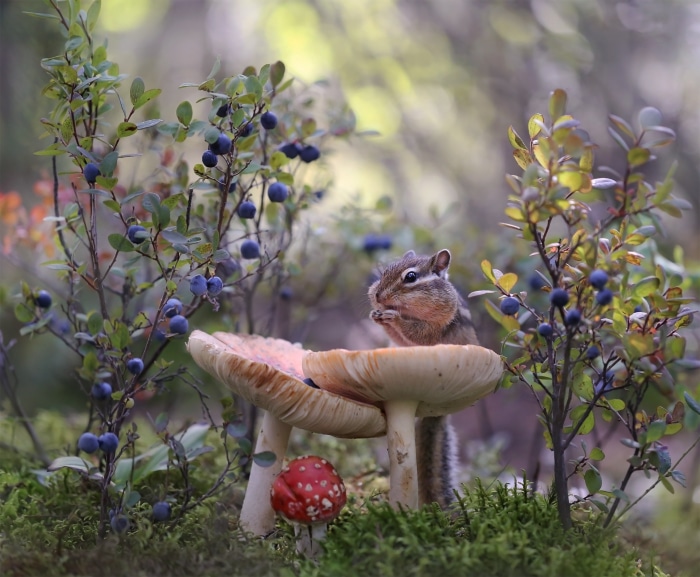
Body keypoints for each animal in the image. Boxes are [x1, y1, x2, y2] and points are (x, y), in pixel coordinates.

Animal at [368, 248, 479, 508]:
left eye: (410, 277)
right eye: (385, 271)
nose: (377, 295)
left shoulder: (436, 327)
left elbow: (418, 333)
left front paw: (394, 317)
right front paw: (376, 313)